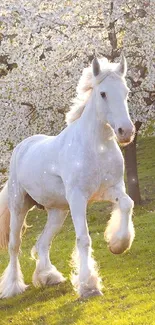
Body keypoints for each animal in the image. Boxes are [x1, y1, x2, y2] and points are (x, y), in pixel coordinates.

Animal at [0, 54, 136, 298]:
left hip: (57, 211)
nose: (126, 132)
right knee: (15, 246)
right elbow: (83, 239)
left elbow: (127, 204)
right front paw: (88, 286)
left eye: (126, 91)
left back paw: (48, 277)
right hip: (19, 207)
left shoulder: (112, 189)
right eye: (103, 93)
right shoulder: (78, 198)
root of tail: (22, 147)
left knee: (42, 243)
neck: (96, 147)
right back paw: (13, 287)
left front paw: (117, 244)